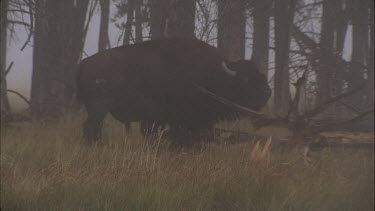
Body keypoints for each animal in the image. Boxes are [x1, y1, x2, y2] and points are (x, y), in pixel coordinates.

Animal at [76, 38, 272, 143]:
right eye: (245, 79)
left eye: (261, 76)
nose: (267, 92)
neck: (212, 74)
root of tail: (85, 62)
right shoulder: (178, 119)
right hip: (99, 108)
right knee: (90, 127)